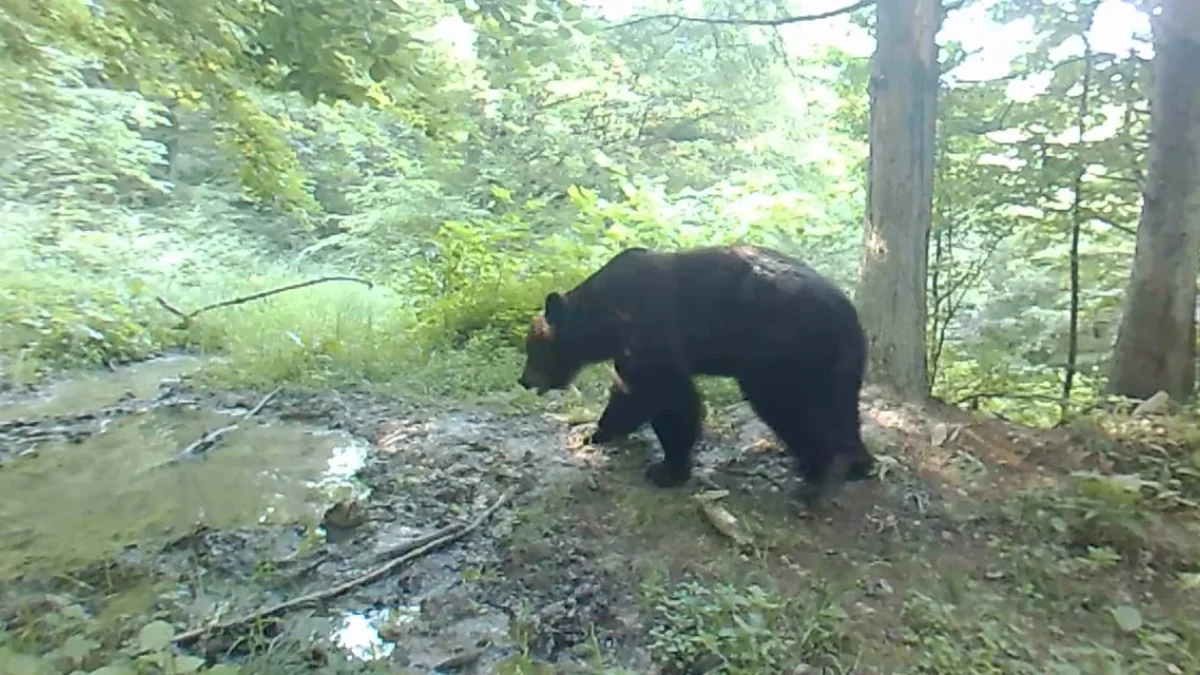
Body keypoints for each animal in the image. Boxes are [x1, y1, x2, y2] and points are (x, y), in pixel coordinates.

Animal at [520, 242, 878, 504]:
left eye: (533, 348)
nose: (524, 380)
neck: (608, 319)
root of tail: (846, 311)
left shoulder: (650, 331)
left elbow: (671, 398)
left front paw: (667, 469)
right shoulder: (630, 350)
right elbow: (629, 393)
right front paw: (597, 430)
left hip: (780, 352)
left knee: (791, 409)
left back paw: (814, 474)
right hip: (837, 363)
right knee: (842, 409)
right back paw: (857, 463)